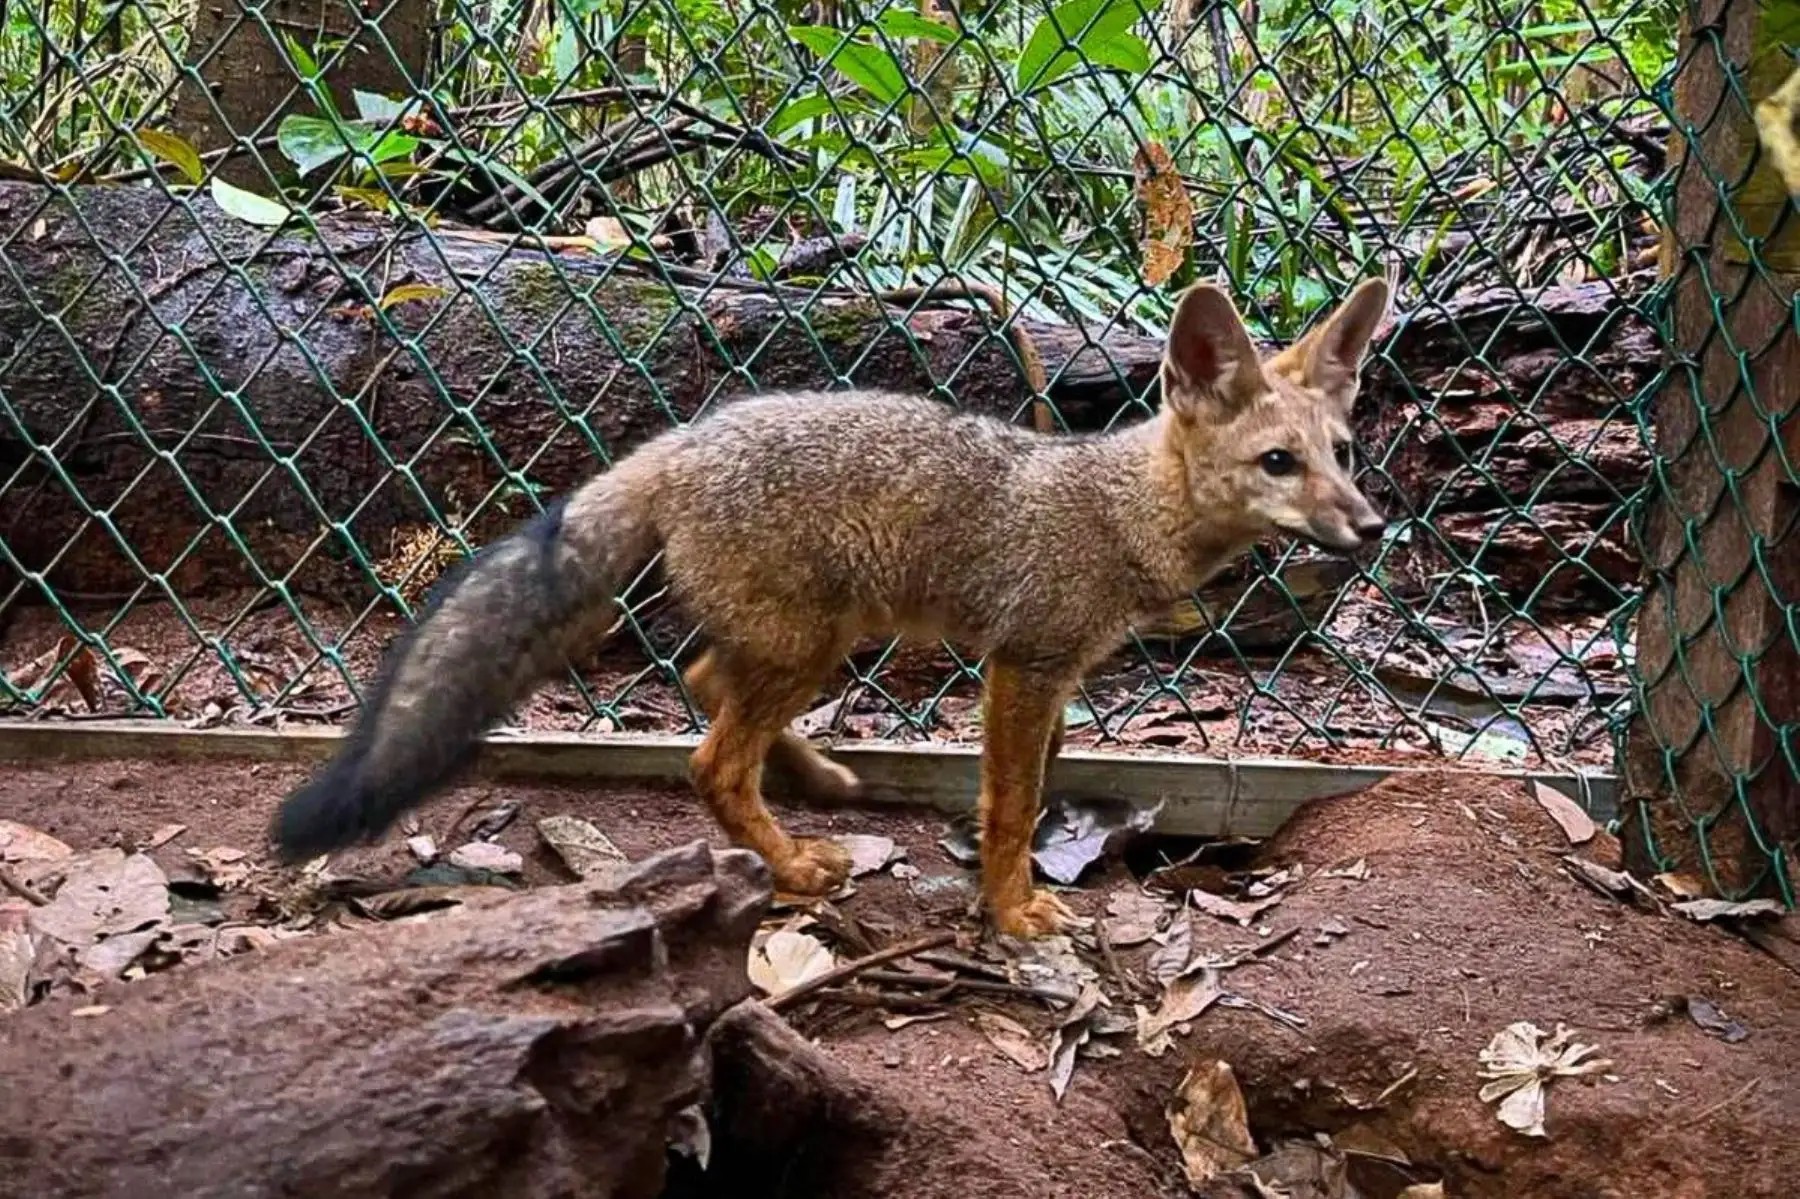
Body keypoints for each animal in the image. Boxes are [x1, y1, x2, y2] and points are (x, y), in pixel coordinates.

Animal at [271, 277, 1391, 938]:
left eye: (1342, 452)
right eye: (1279, 463)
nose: (1374, 526)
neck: (1119, 507)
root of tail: (683, 440)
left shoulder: (1058, 675)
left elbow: (1035, 793)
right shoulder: (1025, 665)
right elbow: (1010, 805)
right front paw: (1014, 908)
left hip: (816, 640)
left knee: (704, 681)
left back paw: (813, 778)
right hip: (812, 646)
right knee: (709, 758)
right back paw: (793, 863)